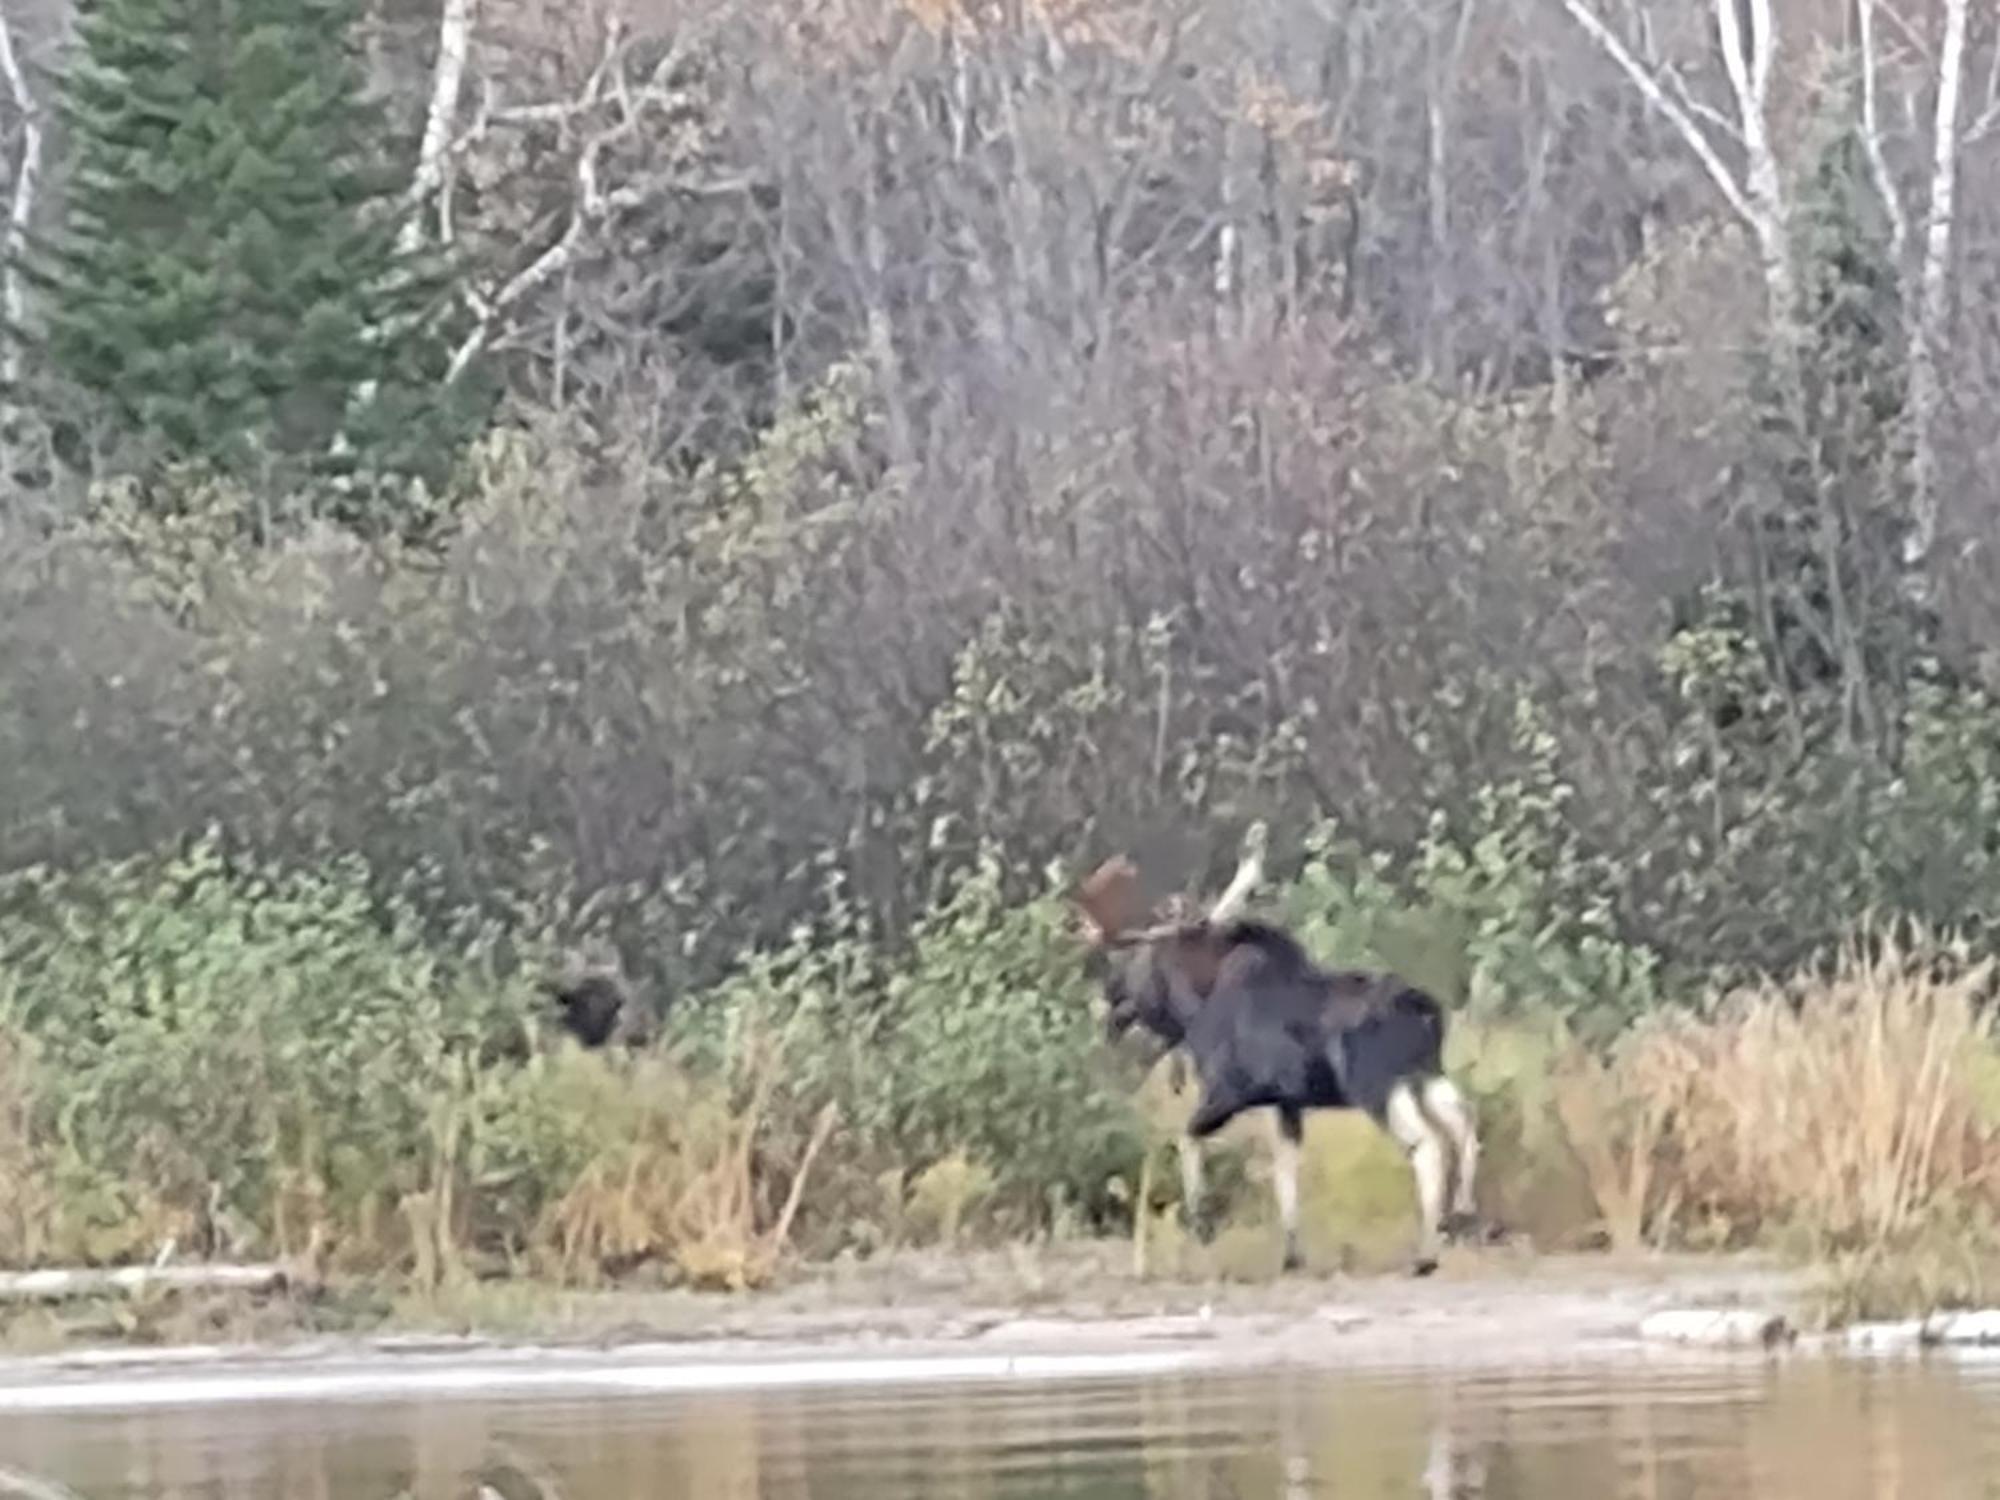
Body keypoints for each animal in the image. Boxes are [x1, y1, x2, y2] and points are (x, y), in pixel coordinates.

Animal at [1080, 828, 1488, 1272]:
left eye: (1139, 956)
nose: (1112, 994)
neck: (1195, 1006)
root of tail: (1426, 1009)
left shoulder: (1229, 1091)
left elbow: (1187, 1138)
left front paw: (1201, 1222)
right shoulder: (1288, 1105)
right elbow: (1284, 1173)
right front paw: (1292, 1254)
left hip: (1377, 1084)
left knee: (1426, 1142)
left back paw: (1427, 1253)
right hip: (1426, 1072)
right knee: (1465, 1120)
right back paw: (1462, 1213)